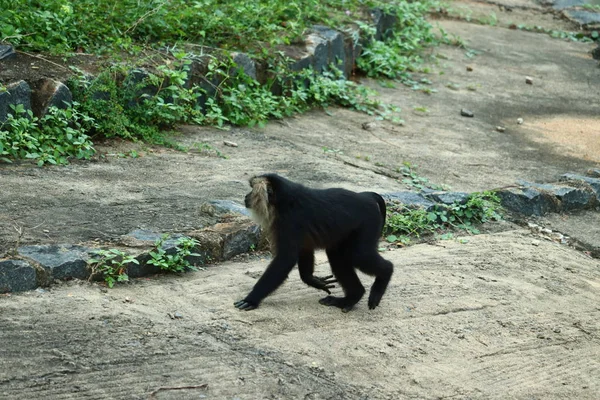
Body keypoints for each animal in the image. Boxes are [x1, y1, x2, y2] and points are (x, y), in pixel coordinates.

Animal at [234, 174, 394, 312]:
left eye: (252, 190)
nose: (246, 196)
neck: (283, 201)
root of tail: (366, 196)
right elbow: (304, 249)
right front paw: (313, 280)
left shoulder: (290, 221)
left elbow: (285, 259)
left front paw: (251, 300)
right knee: (337, 256)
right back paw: (351, 297)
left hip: (368, 223)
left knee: (358, 254)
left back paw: (385, 273)